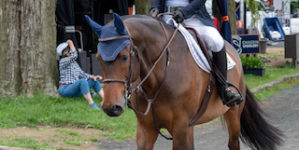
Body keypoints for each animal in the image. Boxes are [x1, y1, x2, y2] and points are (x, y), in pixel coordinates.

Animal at [84, 13, 284, 149]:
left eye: (124, 57)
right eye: (99, 58)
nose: (111, 107)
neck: (159, 79)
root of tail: (232, 48)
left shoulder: (181, 129)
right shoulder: (146, 130)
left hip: (233, 113)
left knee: (233, 143)